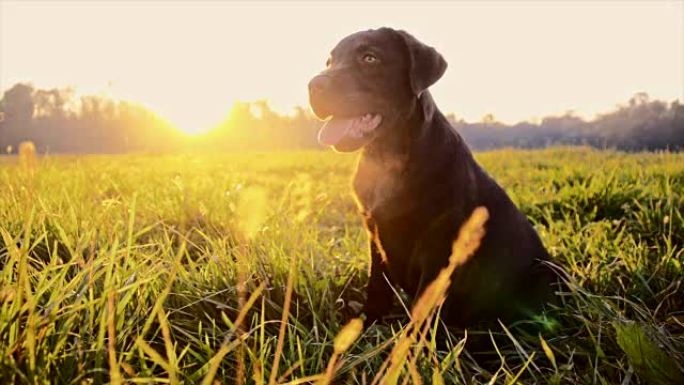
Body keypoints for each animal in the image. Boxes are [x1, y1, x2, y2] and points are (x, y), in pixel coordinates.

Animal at [308, 28, 552, 326]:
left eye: (369, 58)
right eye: (330, 62)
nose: (314, 86)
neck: (386, 158)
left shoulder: (439, 242)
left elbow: (425, 303)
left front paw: (412, 338)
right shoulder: (374, 235)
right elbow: (377, 285)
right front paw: (366, 322)